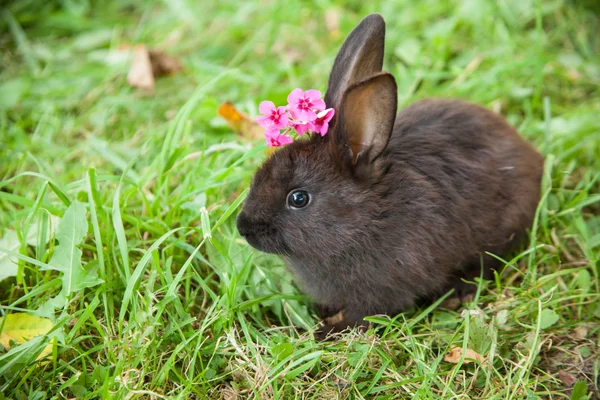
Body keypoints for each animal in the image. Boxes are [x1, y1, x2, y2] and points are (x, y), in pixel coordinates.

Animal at [236, 13, 544, 338]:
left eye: (298, 198)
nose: (243, 227)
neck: (366, 218)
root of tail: (532, 156)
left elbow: (364, 316)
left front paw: (328, 331)